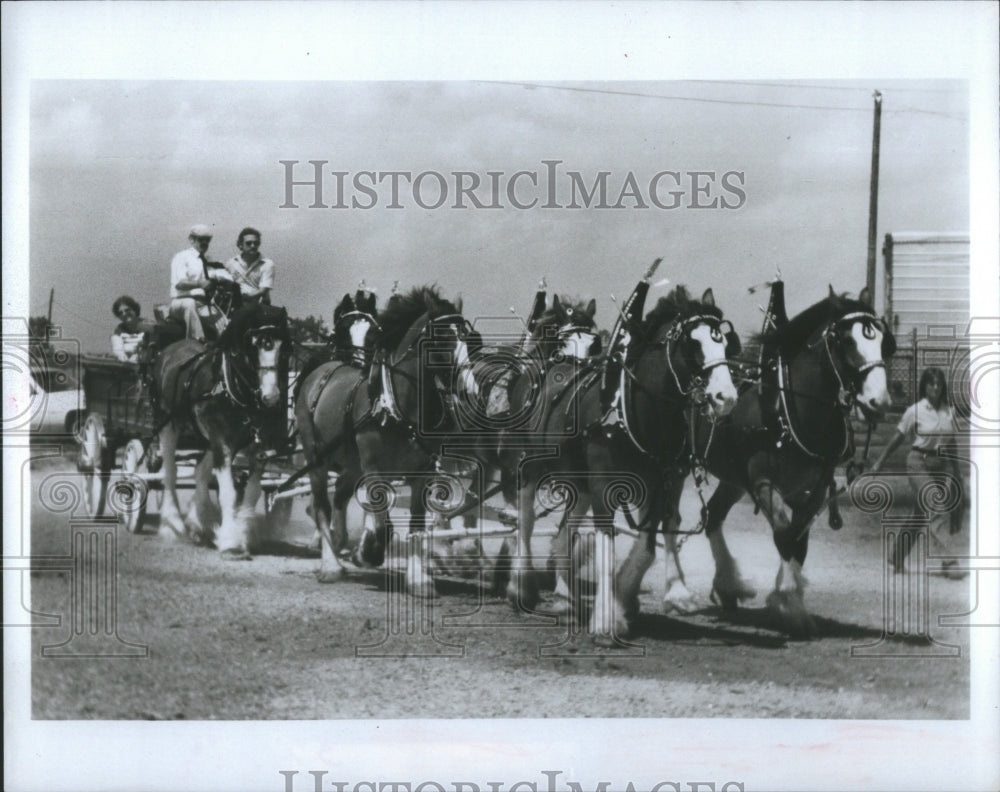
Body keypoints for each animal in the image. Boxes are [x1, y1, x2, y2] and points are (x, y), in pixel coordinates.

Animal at [660, 286, 896, 636]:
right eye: (845, 340)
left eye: (883, 340)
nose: (878, 401)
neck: (789, 409)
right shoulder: (762, 482)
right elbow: (784, 535)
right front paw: (787, 600)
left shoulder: (812, 491)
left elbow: (799, 541)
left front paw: (792, 602)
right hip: (676, 467)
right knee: (670, 519)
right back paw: (676, 593)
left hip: (733, 477)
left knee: (712, 515)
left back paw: (728, 585)